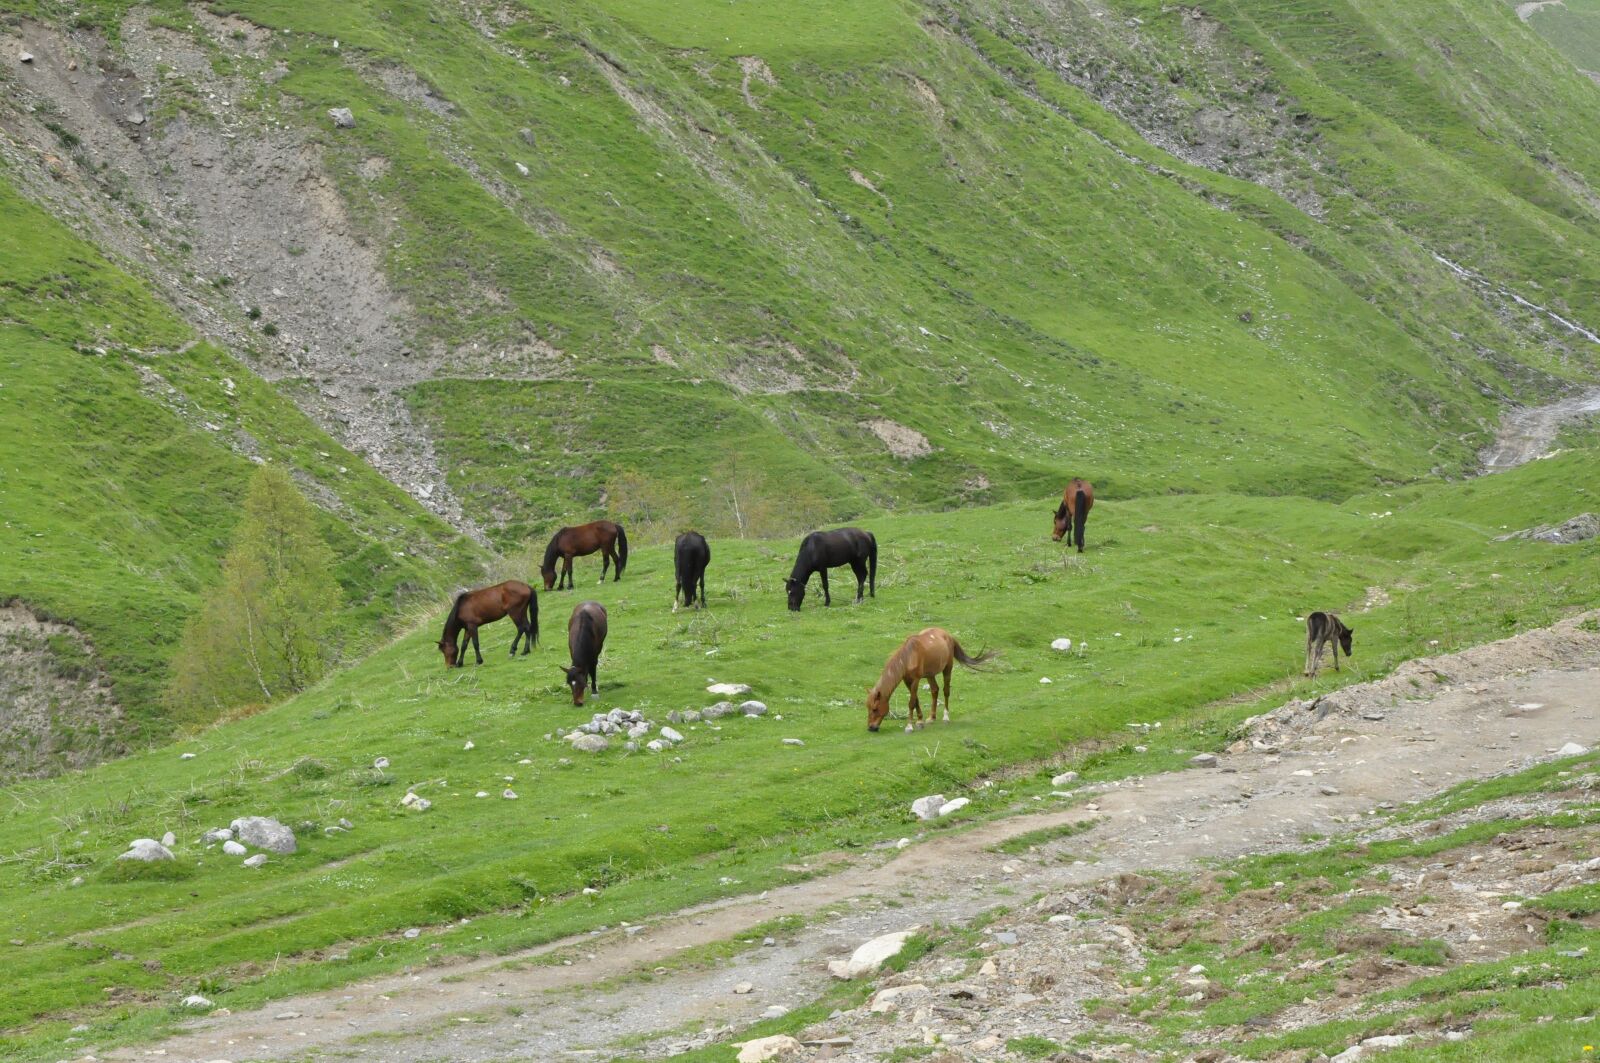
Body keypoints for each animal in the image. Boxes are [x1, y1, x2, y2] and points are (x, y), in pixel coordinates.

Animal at [866, 627, 995, 732]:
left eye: (875, 709)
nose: (871, 728)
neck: (908, 656)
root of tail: (948, 635)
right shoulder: (907, 681)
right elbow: (916, 700)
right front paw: (920, 721)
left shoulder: (916, 680)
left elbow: (911, 702)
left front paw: (909, 726)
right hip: (930, 675)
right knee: (935, 690)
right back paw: (932, 717)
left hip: (947, 669)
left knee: (946, 691)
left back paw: (946, 717)